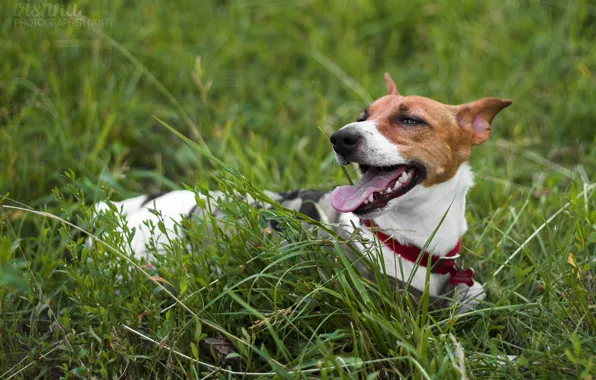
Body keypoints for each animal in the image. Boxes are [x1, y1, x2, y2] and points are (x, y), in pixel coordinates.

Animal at [94, 74, 512, 312]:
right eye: (361, 117)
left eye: (410, 120)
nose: (340, 138)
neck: (411, 244)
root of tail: (132, 208)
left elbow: (476, 296)